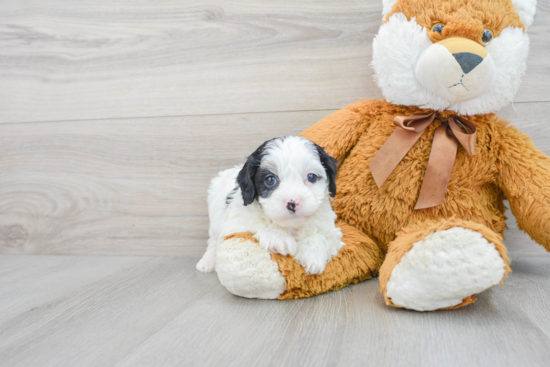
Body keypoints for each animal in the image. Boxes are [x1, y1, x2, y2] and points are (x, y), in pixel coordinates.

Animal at [197, 137, 344, 274]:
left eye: (312, 177)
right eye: (270, 180)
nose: (292, 203)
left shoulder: (330, 230)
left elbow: (321, 236)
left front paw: (313, 254)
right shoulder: (235, 222)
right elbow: (256, 224)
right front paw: (278, 237)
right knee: (213, 241)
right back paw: (207, 262)